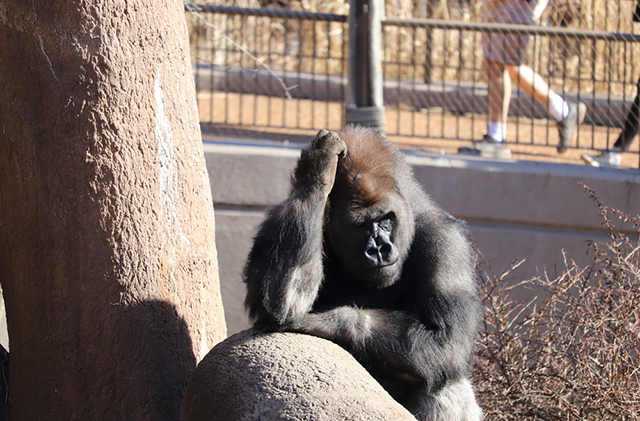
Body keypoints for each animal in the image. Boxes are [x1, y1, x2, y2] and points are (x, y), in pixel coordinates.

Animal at [244, 125, 480, 420]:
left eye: (386, 218)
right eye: (360, 225)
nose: (378, 248)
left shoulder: (447, 243)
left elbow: (448, 340)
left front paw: (331, 322)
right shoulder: (284, 213)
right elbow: (279, 301)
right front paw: (317, 170)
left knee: (447, 382)